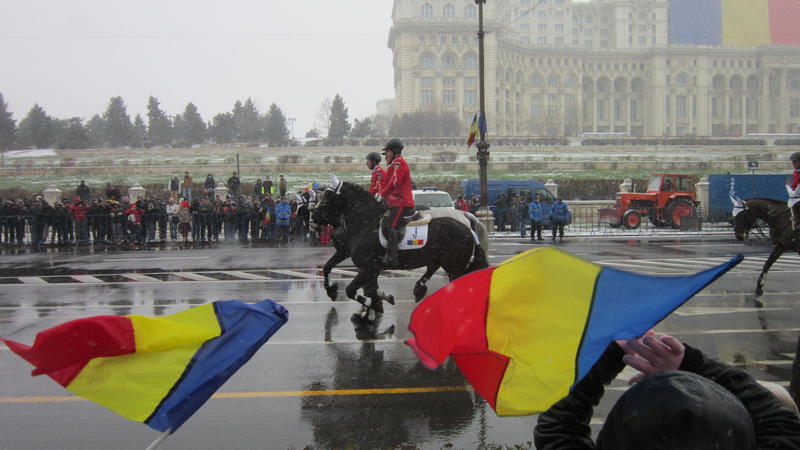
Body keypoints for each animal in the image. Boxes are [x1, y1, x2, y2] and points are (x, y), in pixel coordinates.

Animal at [310, 178, 488, 318]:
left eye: (329, 196)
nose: (314, 216)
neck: (366, 224)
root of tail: (467, 226)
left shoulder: (368, 267)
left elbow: (352, 290)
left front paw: (371, 305)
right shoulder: (361, 263)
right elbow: (329, 267)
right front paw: (334, 292)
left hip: (454, 266)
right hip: (442, 261)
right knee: (433, 270)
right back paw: (419, 289)